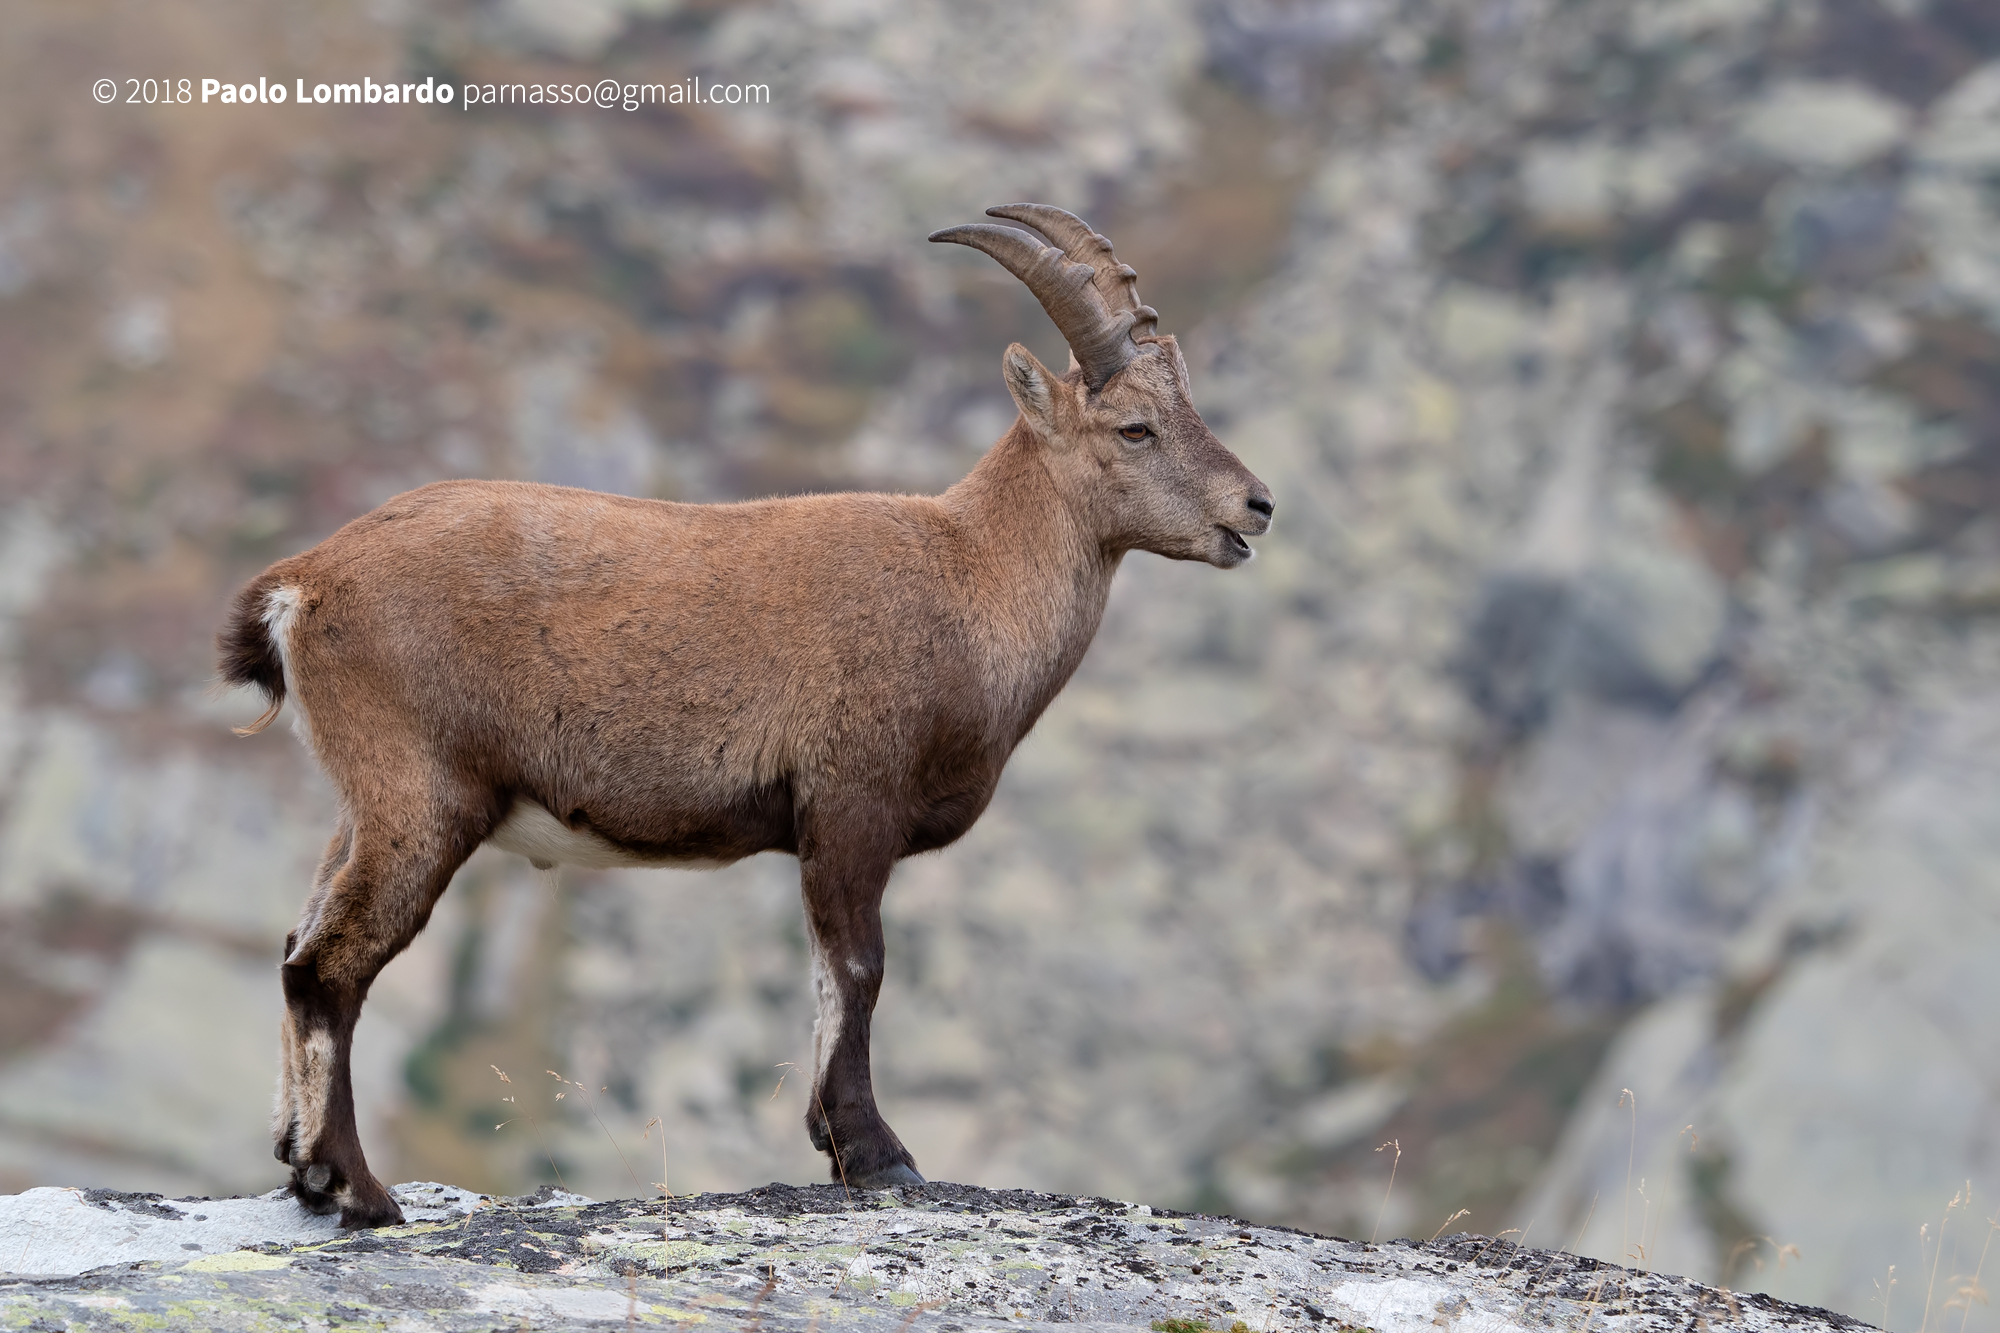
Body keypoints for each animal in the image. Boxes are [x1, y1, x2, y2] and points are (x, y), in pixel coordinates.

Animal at [217, 204, 1274, 1227]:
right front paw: (876, 1155)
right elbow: (857, 966)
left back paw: (301, 1168)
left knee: (297, 944)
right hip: (424, 795)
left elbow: (825, 972)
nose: (1257, 505)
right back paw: (356, 1188)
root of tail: (303, 582)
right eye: (1135, 428)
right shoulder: (851, 799)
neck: (969, 579)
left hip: (364, 799)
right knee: (329, 967)